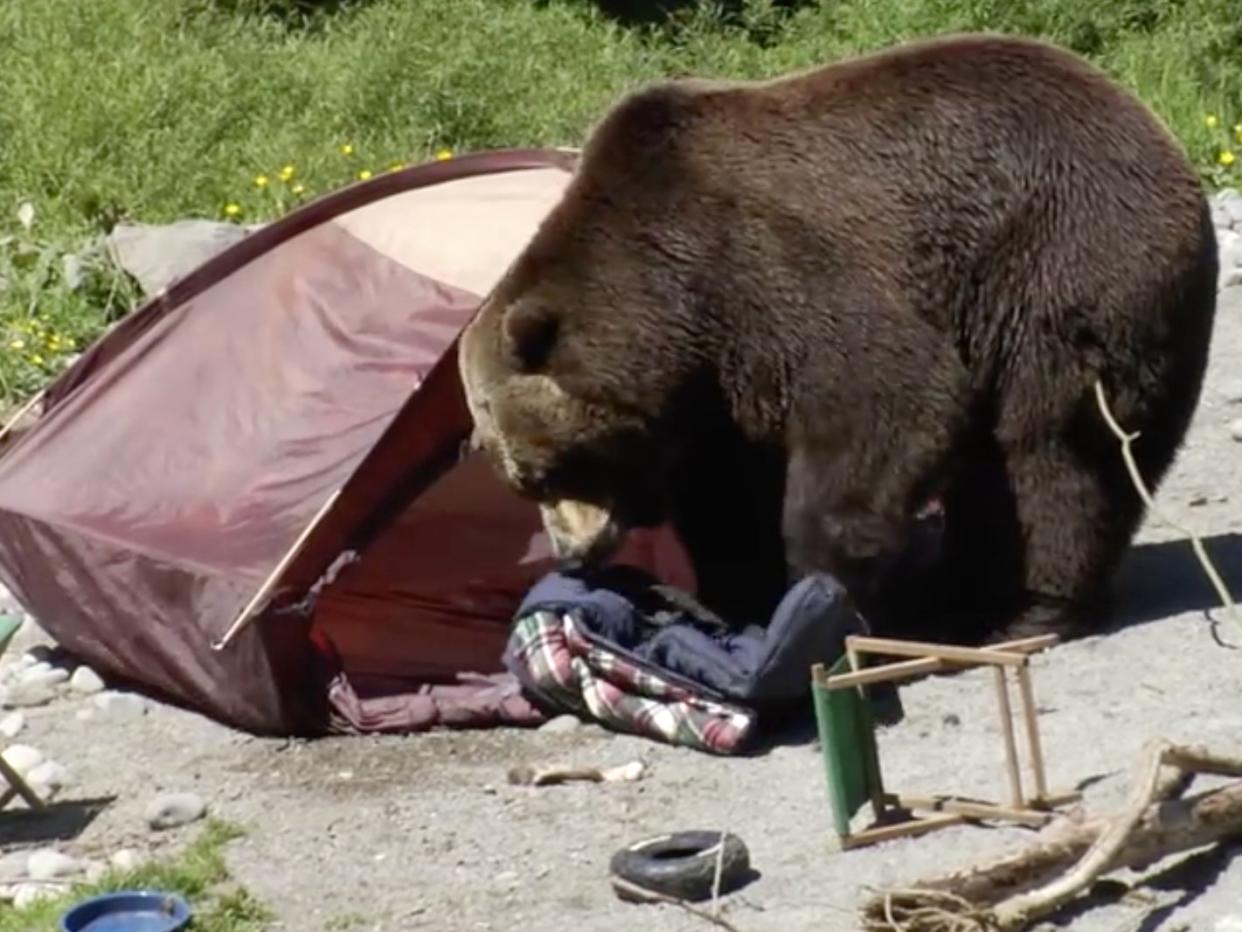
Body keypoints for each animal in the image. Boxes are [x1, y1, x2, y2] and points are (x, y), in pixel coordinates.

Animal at [454, 32, 1212, 646]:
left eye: (543, 470)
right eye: (519, 482)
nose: (571, 555)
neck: (669, 305)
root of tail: (1157, 130)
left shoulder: (770, 269)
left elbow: (884, 402)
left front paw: (822, 582)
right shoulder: (715, 391)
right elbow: (727, 493)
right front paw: (739, 596)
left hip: (1064, 265)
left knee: (1047, 454)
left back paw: (1028, 609)